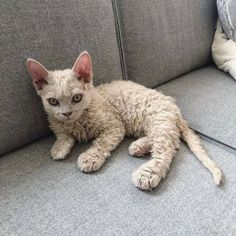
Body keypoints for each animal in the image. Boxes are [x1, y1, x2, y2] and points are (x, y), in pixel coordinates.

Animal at [26, 51, 222, 190]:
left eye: (76, 98)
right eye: (53, 101)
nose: (66, 113)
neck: (77, 121)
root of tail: (174, 107)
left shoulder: (114, 126)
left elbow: (101, 143)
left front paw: (90, 157)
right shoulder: (57, 123)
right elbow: (63, 135)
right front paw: (59, 148)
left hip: (158, 119)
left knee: (167, 149)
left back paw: (147, 173)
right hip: (156, 124)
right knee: (168, 140)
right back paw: (139, 146)